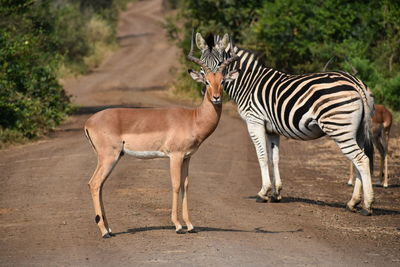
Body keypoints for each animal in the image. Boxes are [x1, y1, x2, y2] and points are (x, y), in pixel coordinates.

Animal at [193, 31, 376, 216]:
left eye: (220, 65)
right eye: (202, 66)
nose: (210, 94)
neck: (247, 83)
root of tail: (355, 82)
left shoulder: (254, 122)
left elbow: (262, 156)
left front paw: (263, 192)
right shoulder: (272, 129)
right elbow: (274, 158)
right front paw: (276, 193)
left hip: (339, 128)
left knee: (361, 159)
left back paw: (367, 205)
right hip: (357, 131)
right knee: (359, 159)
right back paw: (353, 202)